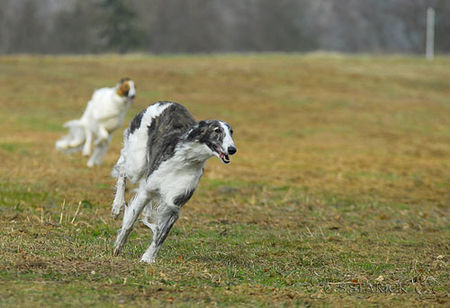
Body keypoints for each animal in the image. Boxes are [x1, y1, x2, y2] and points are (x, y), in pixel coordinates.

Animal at [110, 101, 236, 262]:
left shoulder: (175, 204)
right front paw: (118, 246)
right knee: (122, 169)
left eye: (231, 132)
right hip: (136, 164)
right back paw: (117, 205)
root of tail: (164, 102)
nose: (232, 149)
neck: (185, 160)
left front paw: (148, 258)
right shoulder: (147, 192)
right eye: (217, 130)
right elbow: (130, 222)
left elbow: (161, 236)